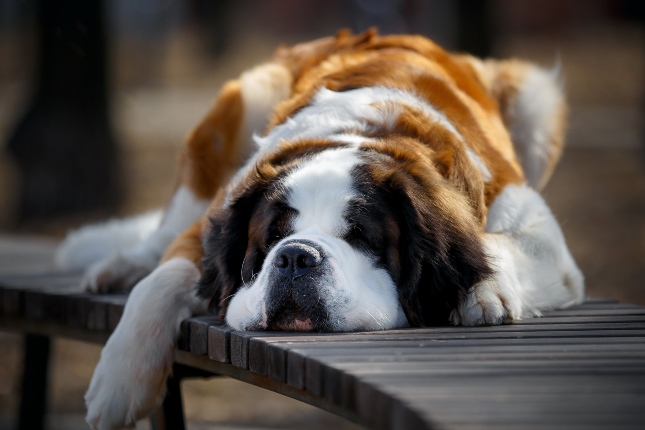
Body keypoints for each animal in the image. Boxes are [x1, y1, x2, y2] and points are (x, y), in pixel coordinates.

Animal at [56, 28, 584, 428]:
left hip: (535, 95)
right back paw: (120, 265)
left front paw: (482, 289)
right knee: (162, 234)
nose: (295, 257)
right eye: (270, 239)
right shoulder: (213, 219)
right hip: (242, 102)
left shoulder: (546, 240)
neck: (361, 137)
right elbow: (162, 280)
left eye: (361, 237)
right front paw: (118, 382)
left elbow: (499, 242)